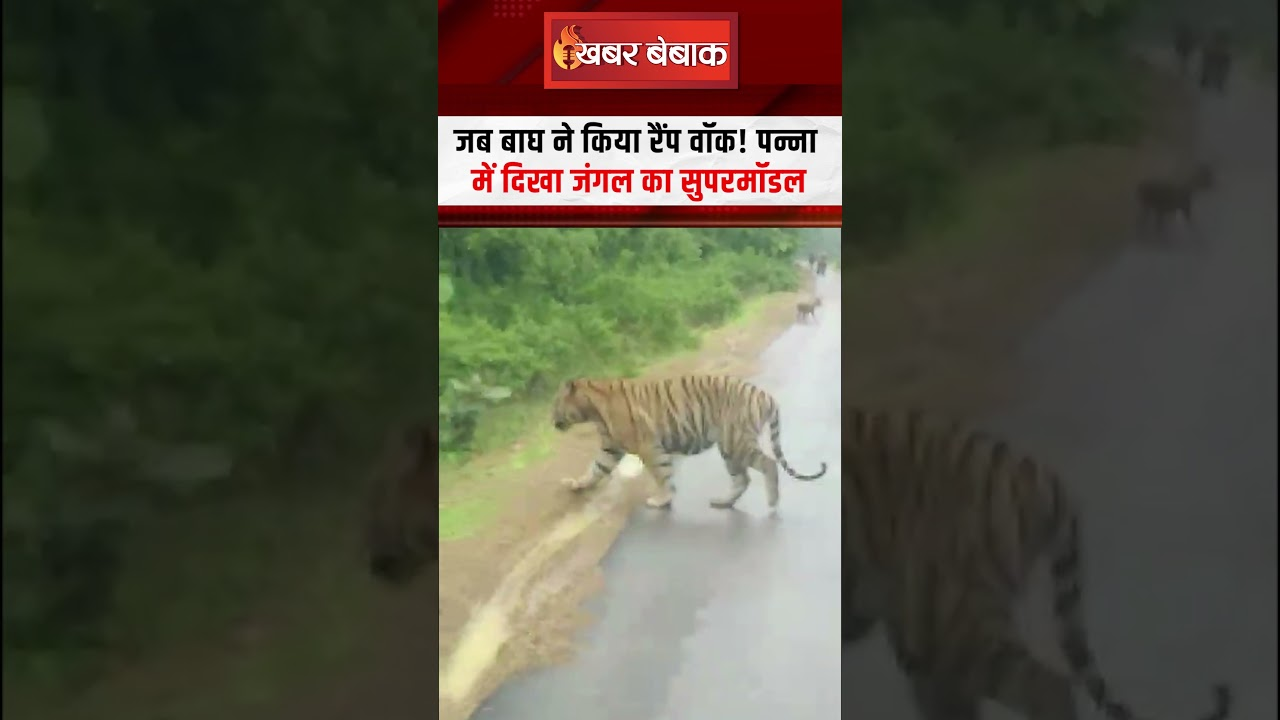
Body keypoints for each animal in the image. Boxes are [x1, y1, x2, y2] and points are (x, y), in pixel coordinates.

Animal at [552, 375, 828, 510]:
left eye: (556, 405)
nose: (551, 419)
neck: (593, 411)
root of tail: (765, 395)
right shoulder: (611, 448)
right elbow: (595, 469)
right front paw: (576, 484)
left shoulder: (647, 446)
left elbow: (660, 474)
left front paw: (662, 500)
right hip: (729, 448)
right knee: (742, 479)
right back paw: (723, 502)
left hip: (736, 441)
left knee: (768, 464)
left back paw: (772, 502)